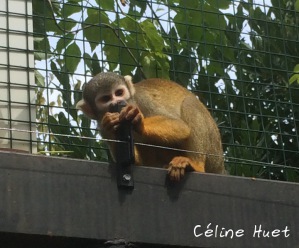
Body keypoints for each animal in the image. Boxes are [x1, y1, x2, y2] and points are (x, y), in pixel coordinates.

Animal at [77, 71, 225, 180]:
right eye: (105, 99)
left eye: (119, 93)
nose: (118, 102)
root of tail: (220, 167)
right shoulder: (101, 127)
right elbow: (134, 162)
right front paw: (111, 124)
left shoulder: (142, 99)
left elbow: (181, 126)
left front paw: (139, 122)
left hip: (214, 153)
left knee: (189, 104)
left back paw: (196, 165)